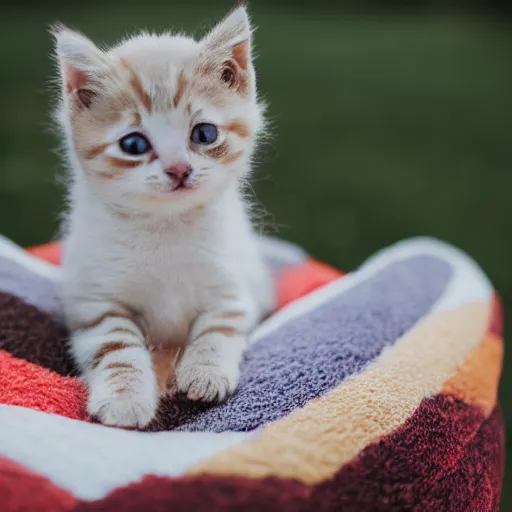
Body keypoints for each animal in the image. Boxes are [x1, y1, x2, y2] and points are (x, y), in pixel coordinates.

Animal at [52, 6, 276, 430]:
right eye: (133, 144)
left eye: (204, 134)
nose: (179, 170)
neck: (165, 227)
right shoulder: (93, 301)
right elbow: (117, 345)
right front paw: (125, 397)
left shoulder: (234, 290)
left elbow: (216, 329)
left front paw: (204, 372)